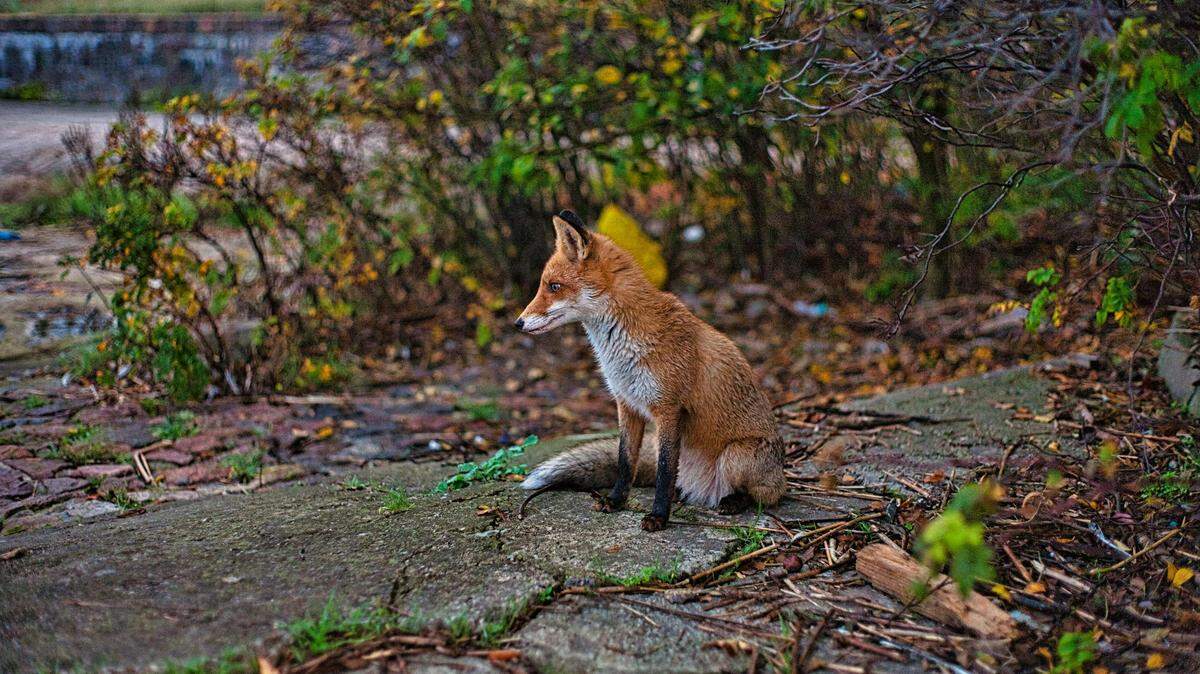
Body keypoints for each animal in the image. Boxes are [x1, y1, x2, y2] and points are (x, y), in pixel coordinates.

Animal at [515, 209, 786, 531]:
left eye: (554, 286)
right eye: (545, 285)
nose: (518, 323)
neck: (622, 348)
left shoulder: (668, 409)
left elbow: (664, 471)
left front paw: (658, 516)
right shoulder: (626, 404)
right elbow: (625, 461)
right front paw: (616, 501)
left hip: (736, 457)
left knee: (763, 496)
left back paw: (732, 501)